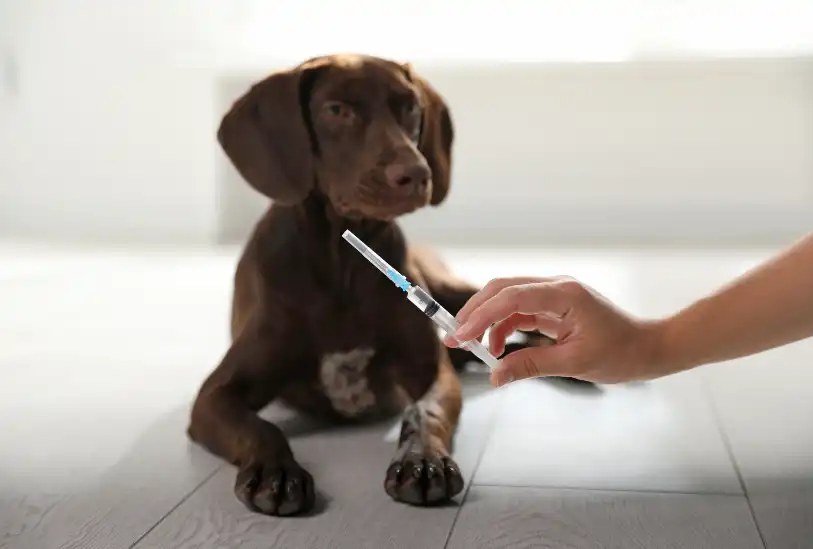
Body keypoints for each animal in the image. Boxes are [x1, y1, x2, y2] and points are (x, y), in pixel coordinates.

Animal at [188, 53, 560, 516]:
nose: (416, 173)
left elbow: (423, 412)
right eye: (336, 110)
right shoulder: (214, 396)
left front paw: (423, 461)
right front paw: (276, 471)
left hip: (459, 295)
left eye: (411, 107)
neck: (342, 264)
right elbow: (261, 429)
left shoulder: (430, 371)